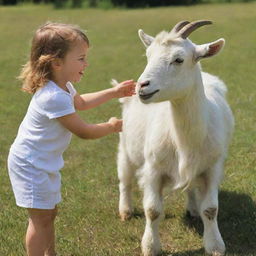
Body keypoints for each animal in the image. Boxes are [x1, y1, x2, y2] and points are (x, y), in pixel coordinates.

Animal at [117, 20, 235, 256]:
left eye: (178, 59)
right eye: (148, 55)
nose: (142, 86)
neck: (183, 139)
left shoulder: (212, 167)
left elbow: (211, 209)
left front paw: (215, 246)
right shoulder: (153, 168)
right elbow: (152, 210)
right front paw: (150, 246)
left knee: (190, 187)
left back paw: (192, 209)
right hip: (126, 145)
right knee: (124, 178)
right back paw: (125, 210)